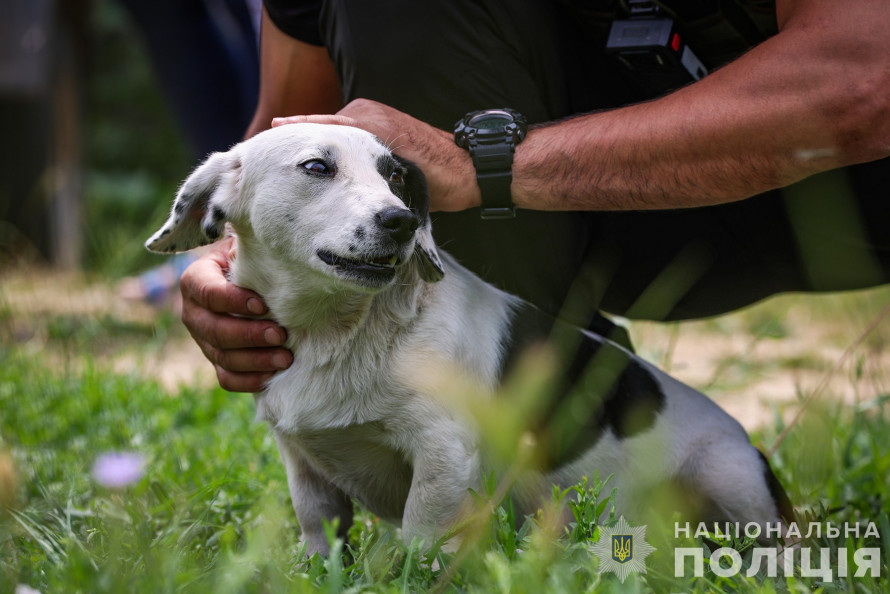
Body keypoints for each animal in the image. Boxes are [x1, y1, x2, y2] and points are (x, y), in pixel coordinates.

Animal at [146, 122, 792, 552]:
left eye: (397, 178)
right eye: (316, 168)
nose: (402, 221)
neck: (340, 331)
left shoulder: (443, 456)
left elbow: (420, 540)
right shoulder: (305, 469)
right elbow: (318, 531)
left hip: (730, 479)